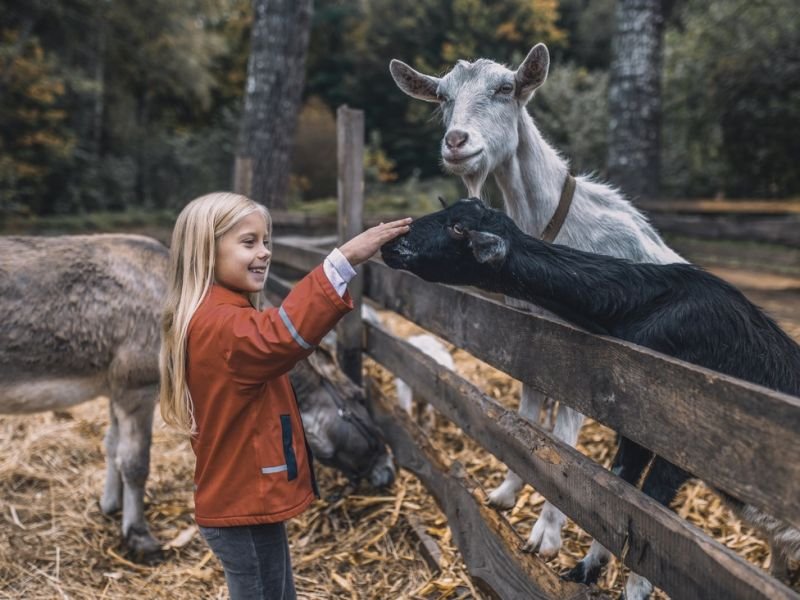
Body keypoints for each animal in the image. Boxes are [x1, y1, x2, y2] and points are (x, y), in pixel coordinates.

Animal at [382, 199, 800, 596]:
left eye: (458, 229)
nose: (389, 244)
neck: (645, 304)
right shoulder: (636, 426)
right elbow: (622, 497)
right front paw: (586, 569)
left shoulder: (683, 437)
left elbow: (655, 510)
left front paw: (634, 589)